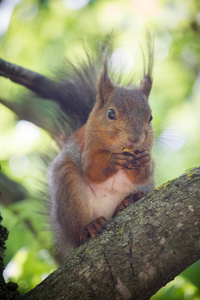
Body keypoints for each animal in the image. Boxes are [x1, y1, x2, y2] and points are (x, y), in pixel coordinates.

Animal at [47, 37, 155, 262]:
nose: (135, 139)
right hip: (69, 190)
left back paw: (126, 202)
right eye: (111, 114)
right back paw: (90, 226)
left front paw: (144, 160)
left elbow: (143, 173)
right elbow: (92, 170)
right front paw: (114, 159)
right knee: (79, 229)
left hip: (146, 187)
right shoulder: (86, 147)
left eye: (150, 117)